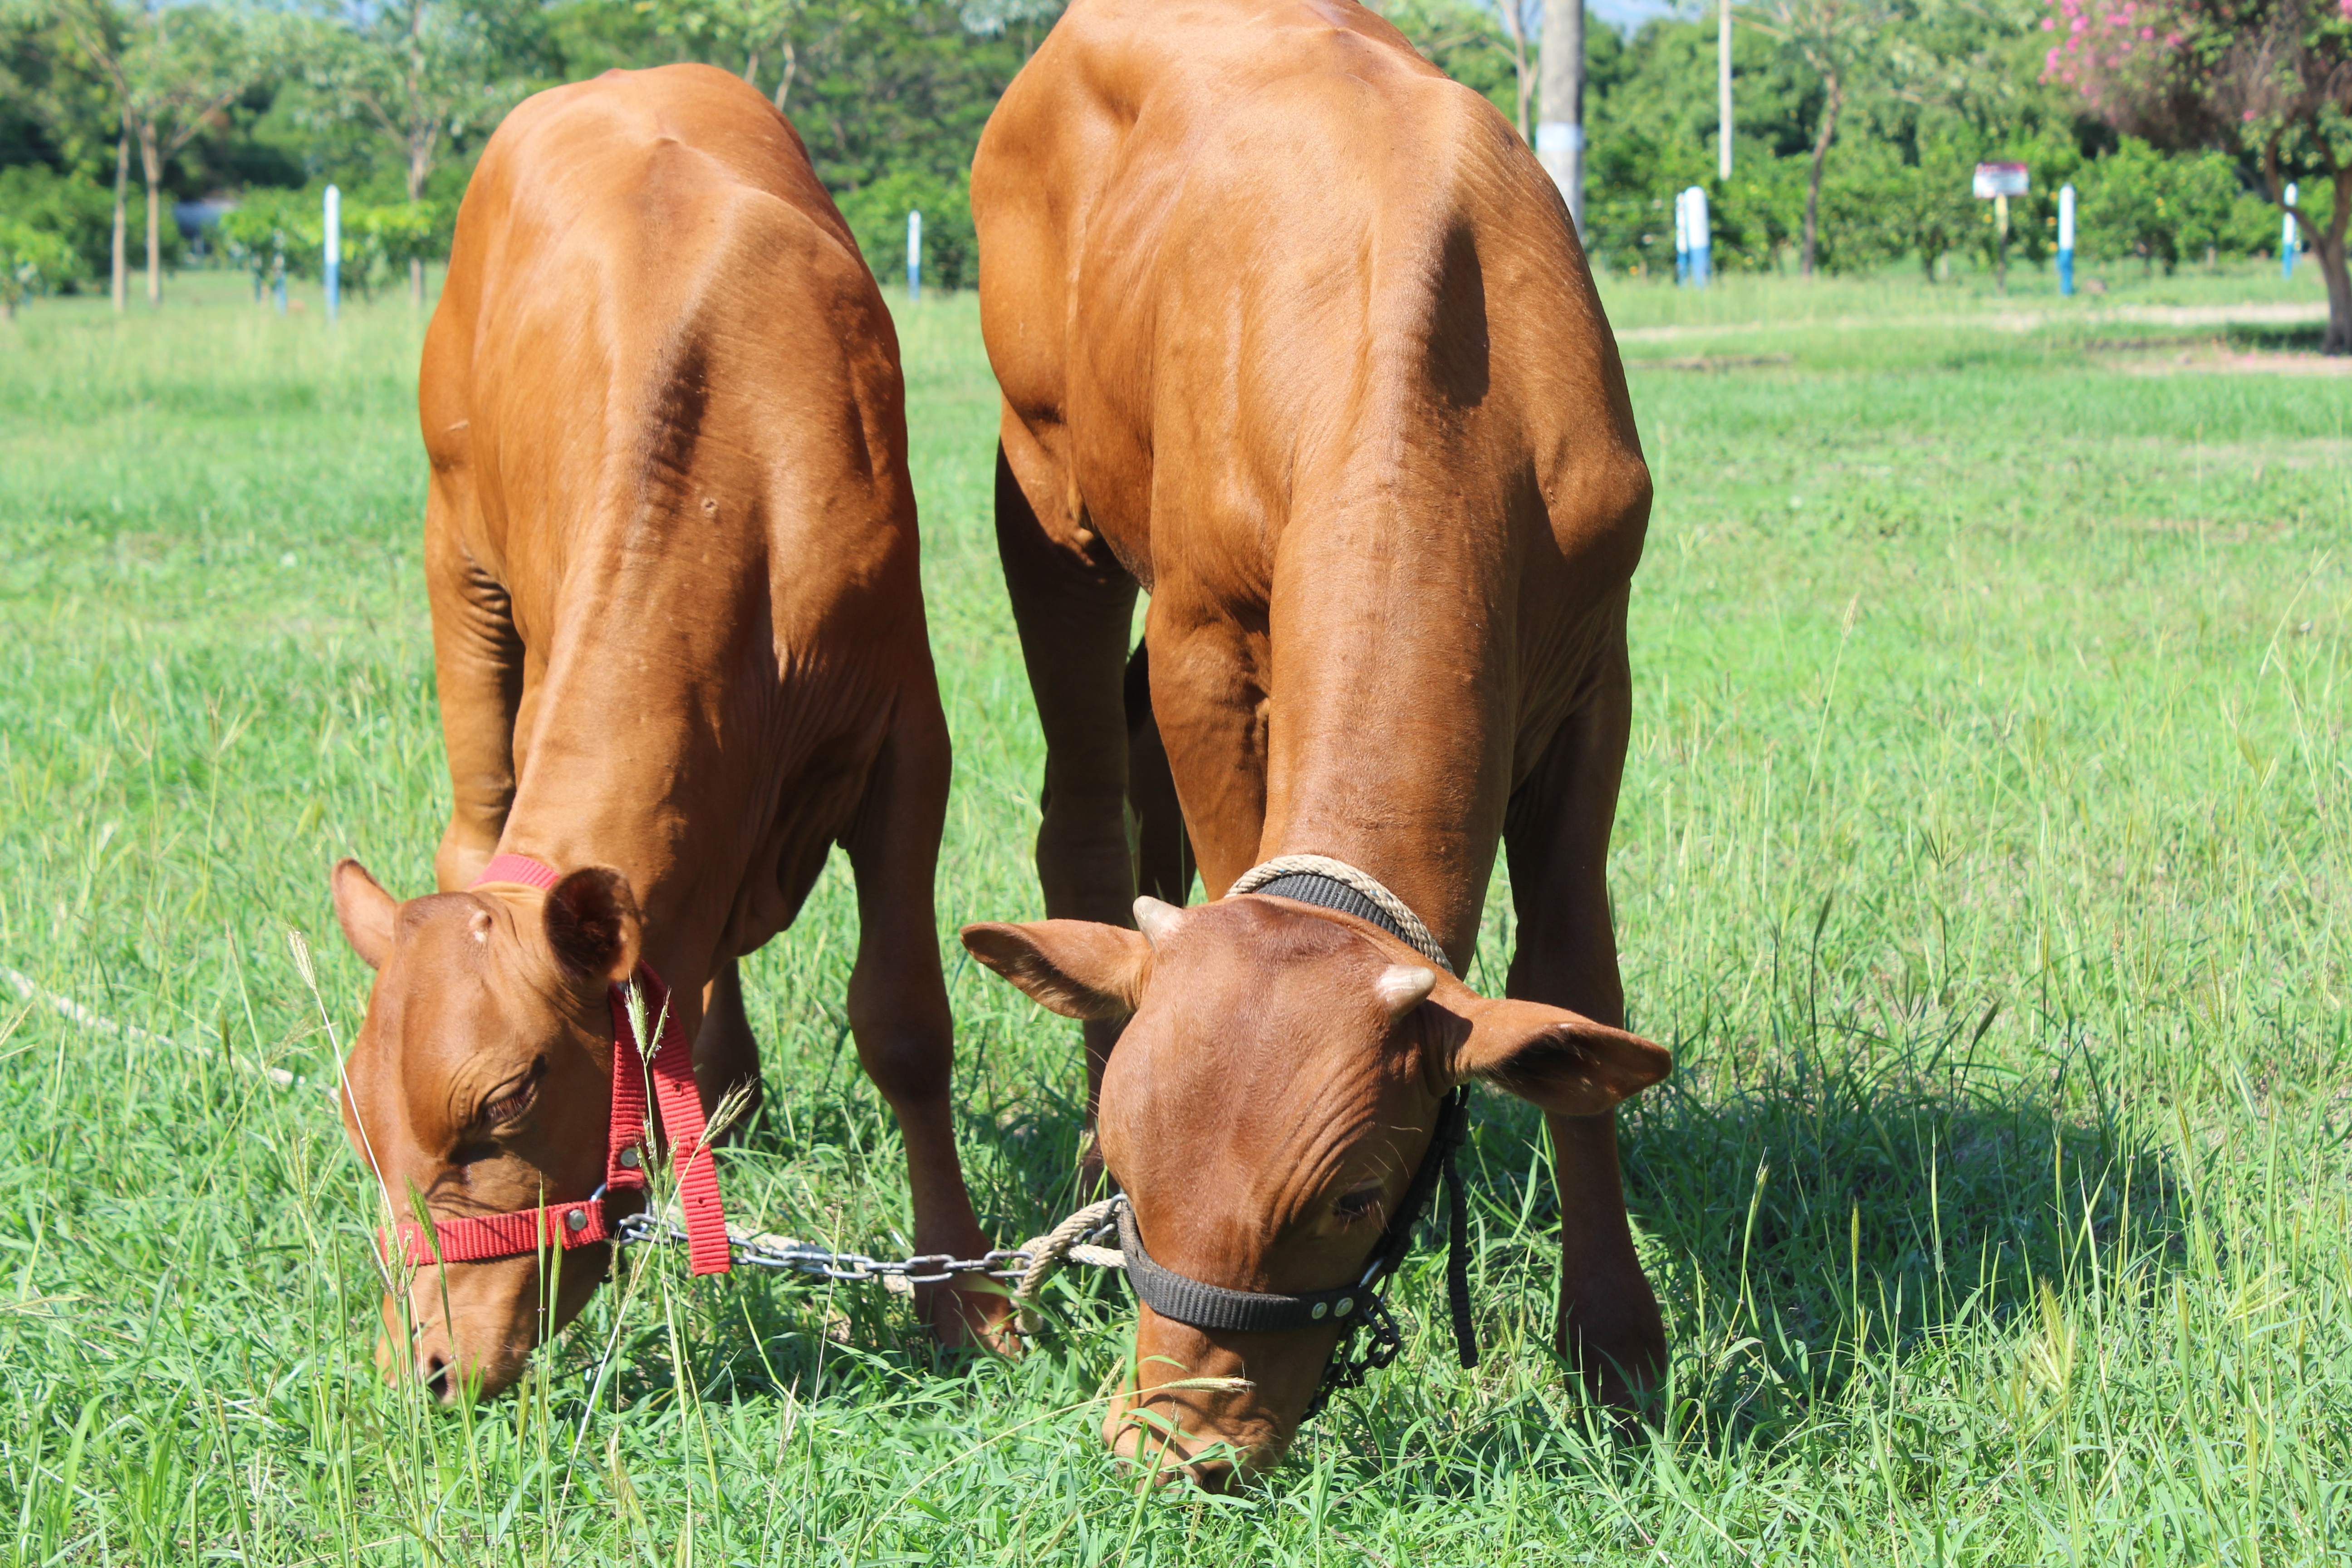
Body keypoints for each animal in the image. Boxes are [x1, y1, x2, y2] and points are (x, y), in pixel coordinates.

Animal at [324, 67, 1002, 1401]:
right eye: (356, 1121)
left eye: (508, 1096)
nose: (421, 1364)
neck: (739, 482)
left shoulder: (908, 735)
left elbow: (903, 1021)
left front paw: (966, 1297)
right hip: (457, 562)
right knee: (477, 829)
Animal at [955, 0, 1675, 1485]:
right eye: (1138, 1169)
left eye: (1350, 1196)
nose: (1173, 1444)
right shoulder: (1206, 637)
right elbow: (1220, 836)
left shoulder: (1596, 666)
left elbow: (1576, 968)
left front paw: (1615, 1342)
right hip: (1044, 498)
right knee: (1084, 803)